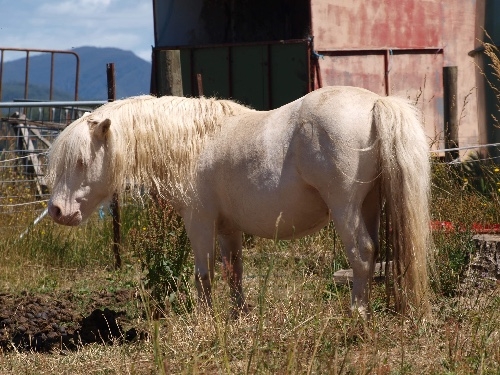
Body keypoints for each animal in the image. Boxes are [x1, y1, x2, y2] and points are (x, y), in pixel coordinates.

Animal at [46, 87, 434, 318]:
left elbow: (203, 273)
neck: (195, 143)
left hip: (345, 208)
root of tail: (374, 101)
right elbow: (233, 270)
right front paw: (238, 314)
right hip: (370, 205)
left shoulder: (199, 221)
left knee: (362, 254)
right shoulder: (228, 228)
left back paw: (357, 313)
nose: (58, 211)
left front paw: (205, 319)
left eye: (81, 161)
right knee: (375, 252)